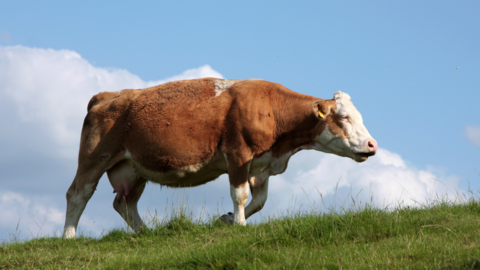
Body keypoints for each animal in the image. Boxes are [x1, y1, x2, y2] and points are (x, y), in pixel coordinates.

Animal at [62, 78, 376, 238]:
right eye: (344, 117)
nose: (372, 145)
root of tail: (108, 94)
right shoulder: (238, 154)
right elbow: (240, 194)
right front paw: (239, 224)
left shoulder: (261, 164)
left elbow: (259, 201)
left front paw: (227, 219)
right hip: (94, 158)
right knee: (77, 194)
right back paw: (69, 237)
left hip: (134, 168)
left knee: (124, 203)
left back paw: (146, 232)